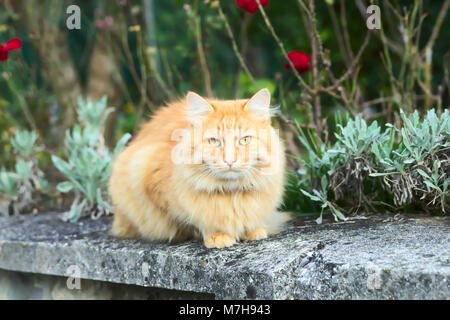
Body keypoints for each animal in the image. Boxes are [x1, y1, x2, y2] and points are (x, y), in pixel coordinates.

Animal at [109, 89, 288, 249]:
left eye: (244, 140)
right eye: (214, 141)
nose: (229, 160)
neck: (231, 193)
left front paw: (254, 230)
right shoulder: (146, 174)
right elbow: (194, 221)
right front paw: (217, 236)